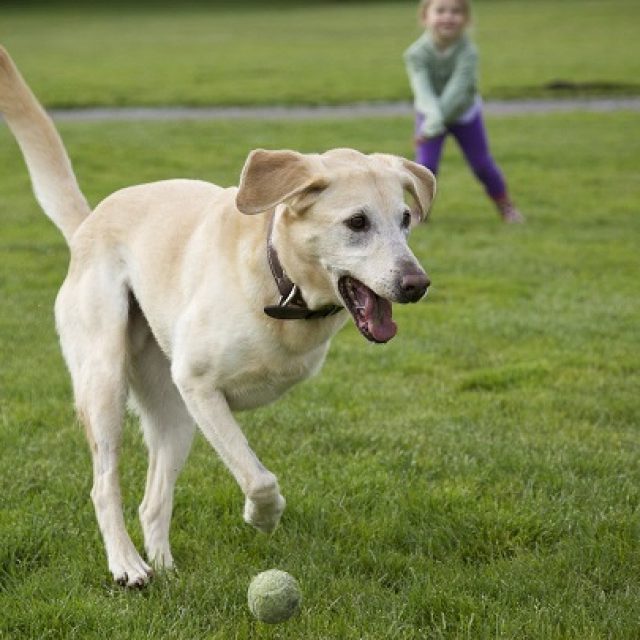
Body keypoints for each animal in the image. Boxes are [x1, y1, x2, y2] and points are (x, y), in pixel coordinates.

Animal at [0, 45, 436, 584]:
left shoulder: (196, 397)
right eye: (357, 222)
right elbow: (259, 478)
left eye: (405, 219)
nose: (417, 284)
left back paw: (165, 569)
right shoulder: (201, 387)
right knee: (104, 487)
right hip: (106, 383)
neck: (279, 285)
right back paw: (127, 564)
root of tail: (88, 224)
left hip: (173, 414)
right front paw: (262, 517)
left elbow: (248, 473)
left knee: (152, 502)